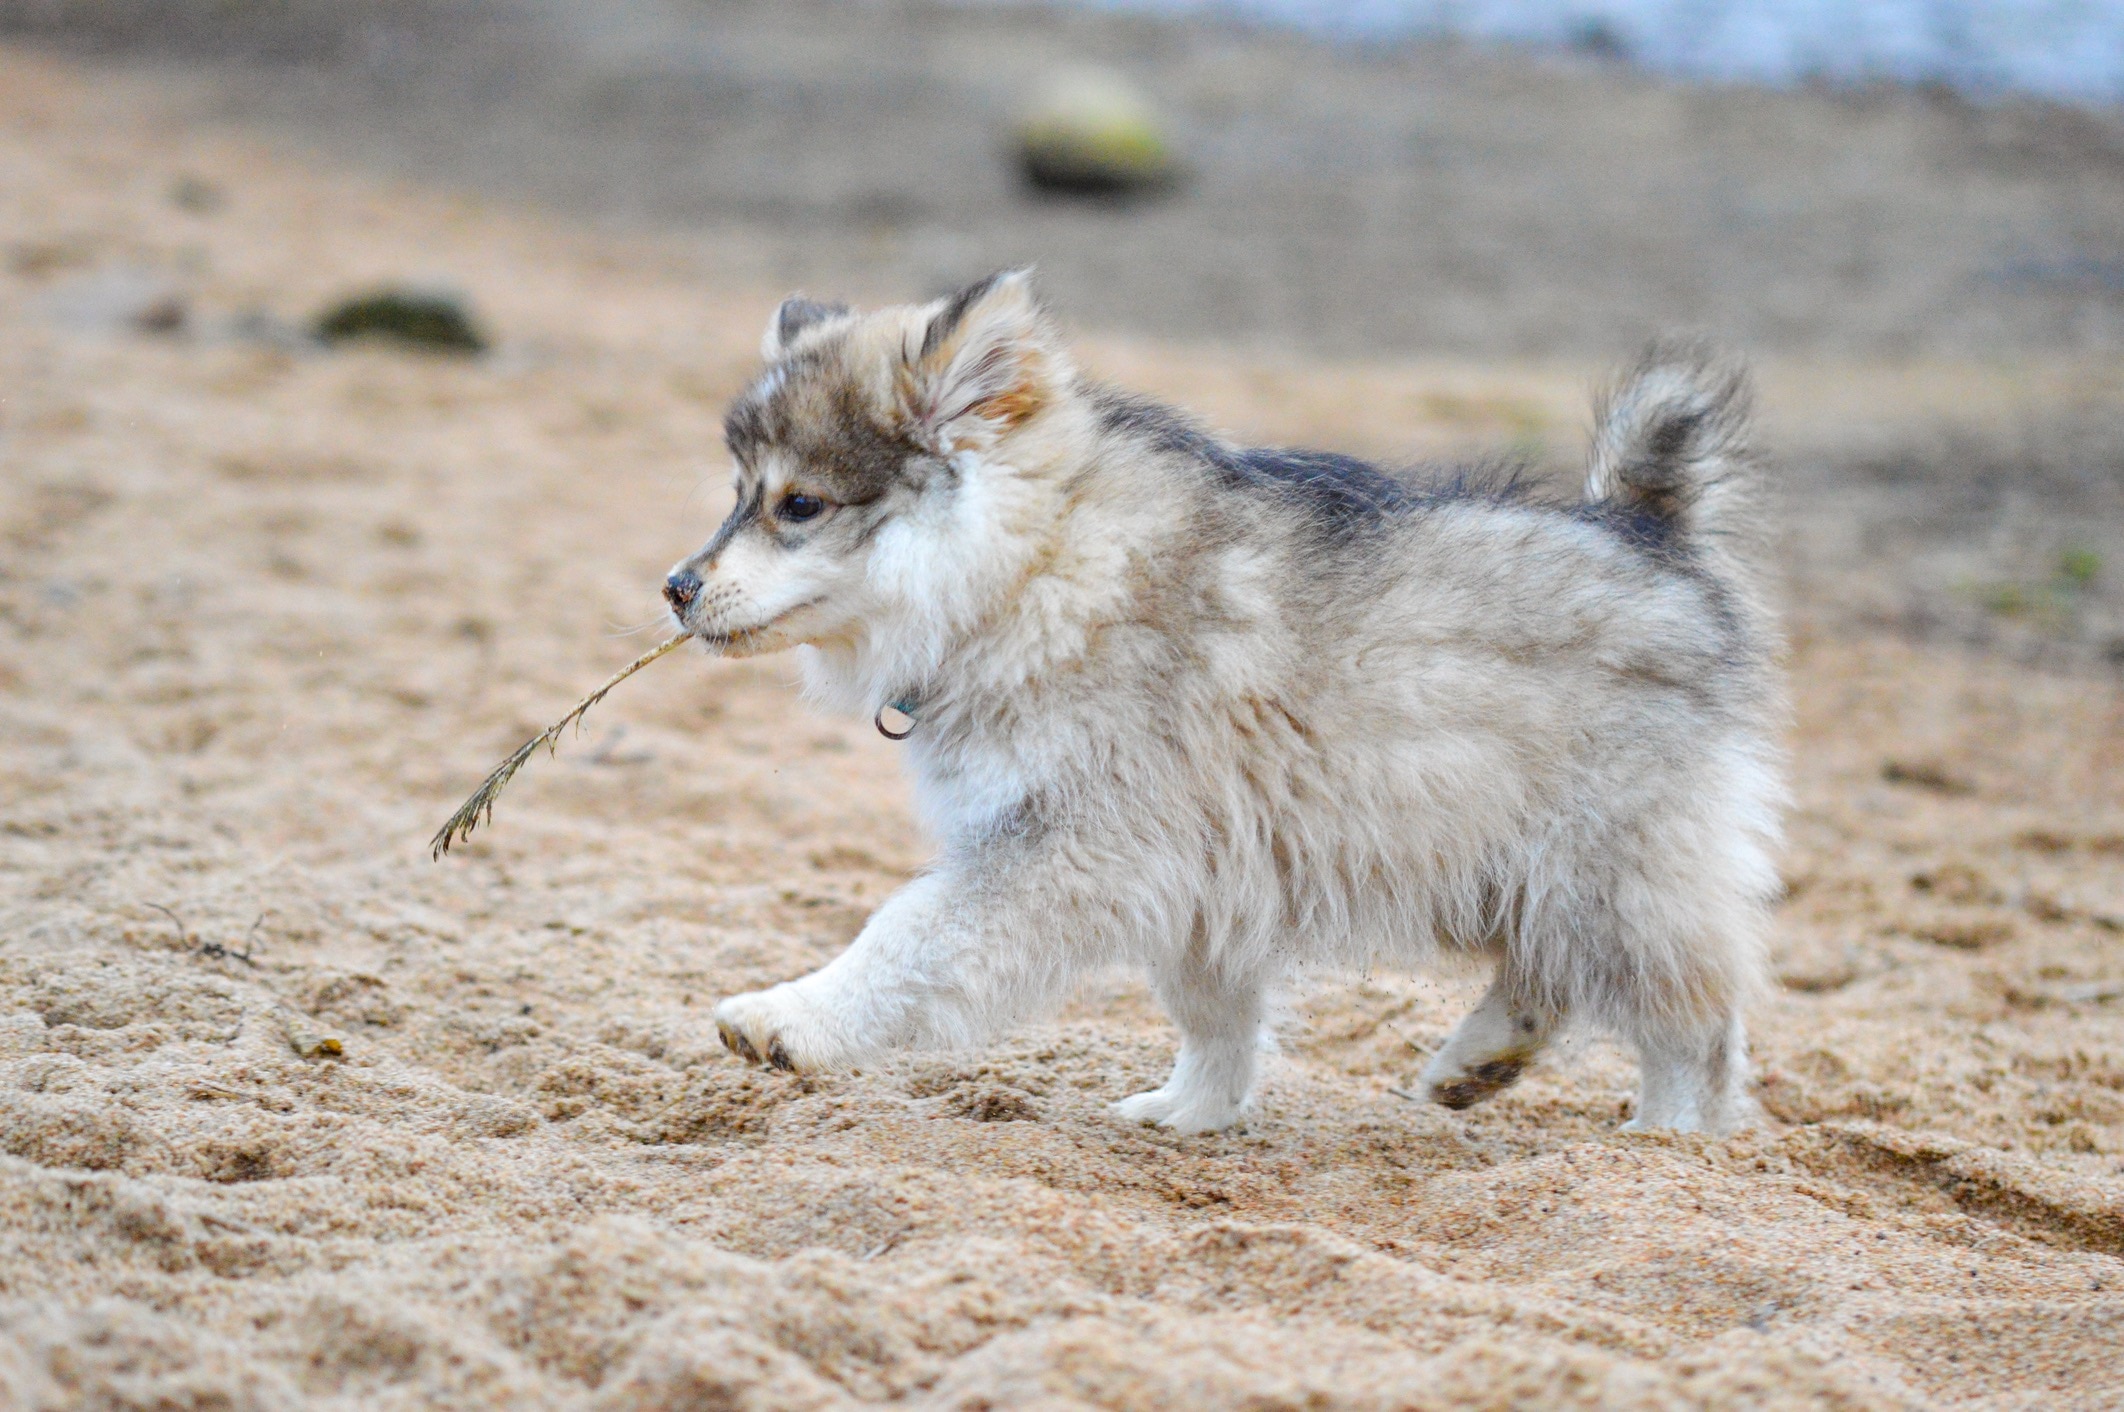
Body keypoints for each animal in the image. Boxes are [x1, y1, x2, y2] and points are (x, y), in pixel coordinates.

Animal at [662, 271, 1775, 1138]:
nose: (674, 586)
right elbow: (1213, 1014)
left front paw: (794, 1014)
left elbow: (907, 932)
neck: (1035, 568)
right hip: (1508, 858)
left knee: (1691, 1018)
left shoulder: (1071, 845)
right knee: (1550, 976)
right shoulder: (1193, 876)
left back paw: (1665, 1140)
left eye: (798, 504)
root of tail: (1650, 528)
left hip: (1603, 864)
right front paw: (1194, 1111)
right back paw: (1478, 1063)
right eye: (735, 490)